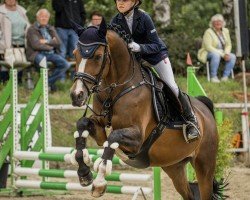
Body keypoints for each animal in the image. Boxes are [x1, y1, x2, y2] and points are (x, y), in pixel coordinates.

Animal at [69, 19, 222, 200]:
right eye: (75, 54)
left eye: (98, 56)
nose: (77, 95)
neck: (118, 88)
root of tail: (205, 111)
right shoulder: (100, 129)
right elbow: (82, 125)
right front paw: (84, 174)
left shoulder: (137, 140)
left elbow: (113, 137)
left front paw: (99, 183)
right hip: (174, 166)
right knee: (189, 193)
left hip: (204, 165)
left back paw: (192, 128)